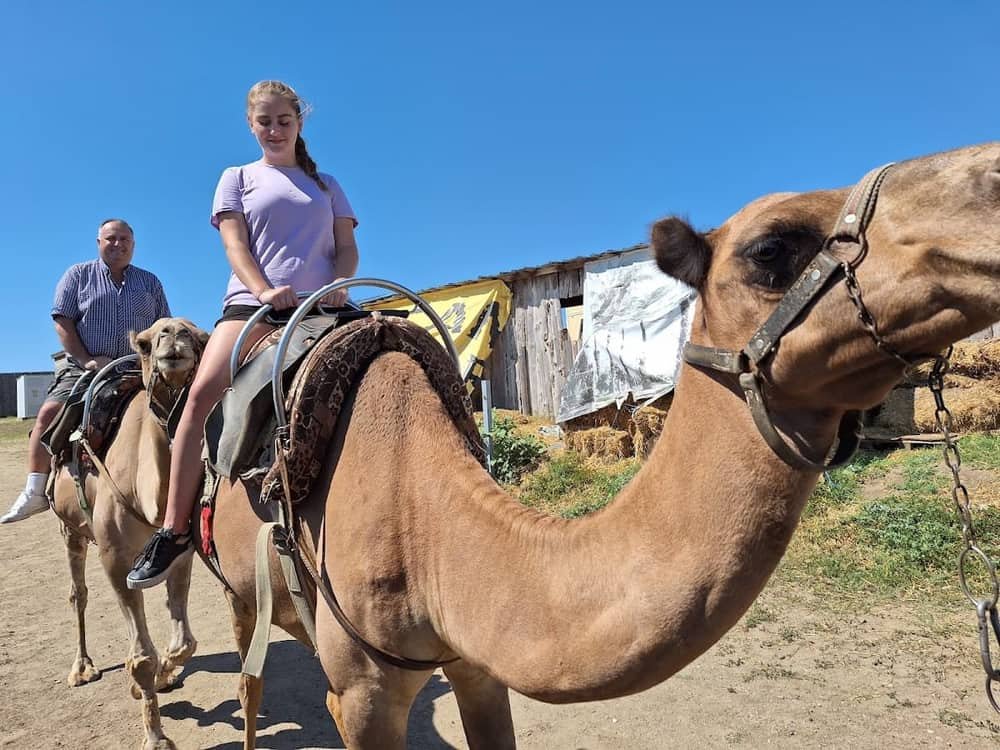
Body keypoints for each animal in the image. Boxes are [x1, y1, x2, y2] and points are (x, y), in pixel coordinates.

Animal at [52, 317, 209, 750]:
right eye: (144, 343)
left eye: (200, 338)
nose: (175, 335)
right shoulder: (115, 557)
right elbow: (142, 657)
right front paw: (155, 736)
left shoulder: (178, 555)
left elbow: (183, 642)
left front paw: (164, 675)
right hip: (71, 529)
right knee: (78, 594)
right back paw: (82, 668)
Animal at [204, 142, 1000, 749]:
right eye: (771, 248)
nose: (991, 175)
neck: (420, 521)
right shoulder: (361, 696)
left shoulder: (478, 662)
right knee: (242, 675)